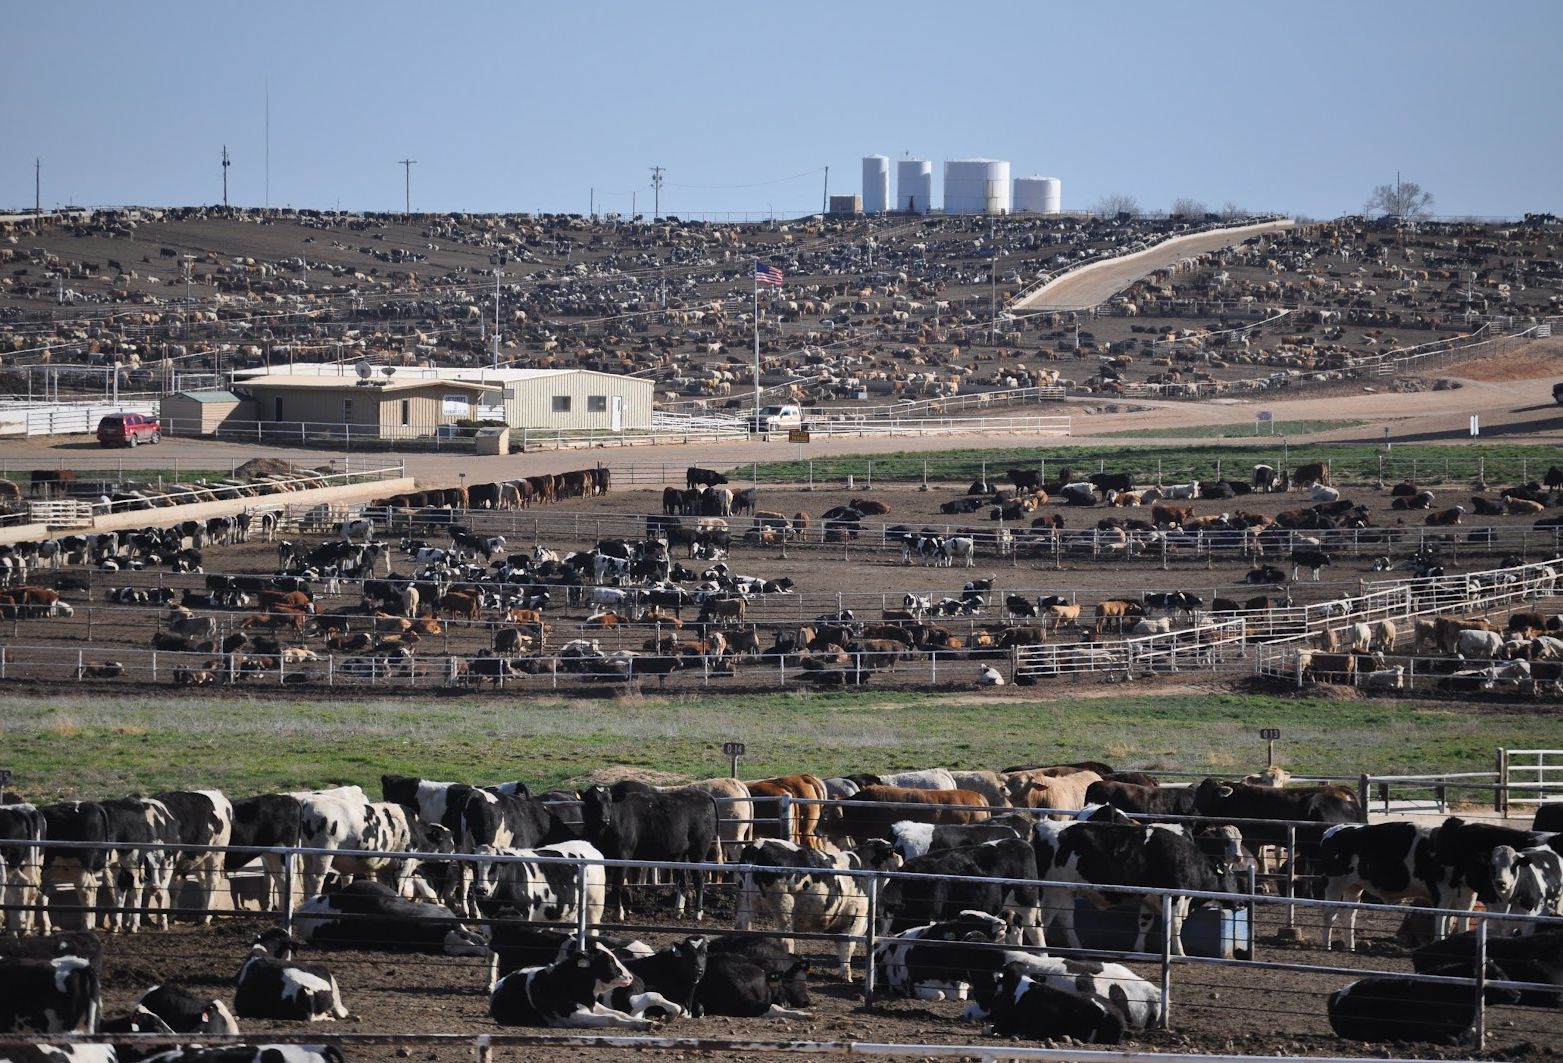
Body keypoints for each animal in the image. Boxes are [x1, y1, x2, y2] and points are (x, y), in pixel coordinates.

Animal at [733, 838, 900, 978]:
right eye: (892, 851)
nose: (900, 857)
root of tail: (758, 845)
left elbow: (841, 946)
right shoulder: (856, 917)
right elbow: (848, 947)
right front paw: (846, 976)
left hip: (745, 902)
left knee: (742, 930)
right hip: (783, 906)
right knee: (786, 940)